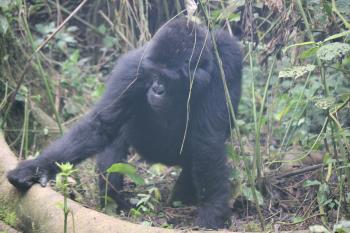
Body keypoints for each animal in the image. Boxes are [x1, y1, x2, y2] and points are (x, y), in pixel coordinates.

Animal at [6, 17, 242, 228]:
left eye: (167, 78)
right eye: (153, 74)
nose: (156, 89)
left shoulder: (227, 61)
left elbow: (207, 142)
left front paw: (212, 211)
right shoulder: (133, 68)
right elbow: (101, 123)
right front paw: (36, 168)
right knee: (114, 142)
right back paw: (113, 200)